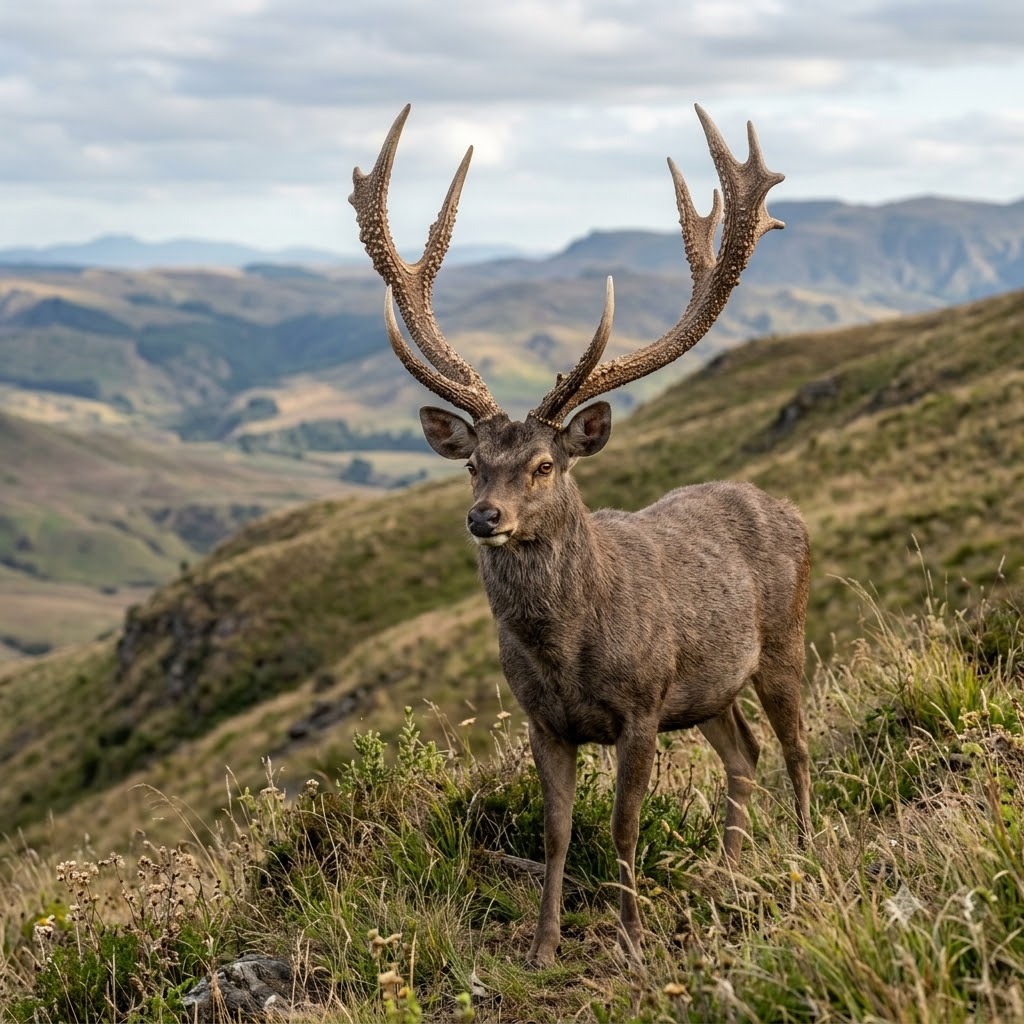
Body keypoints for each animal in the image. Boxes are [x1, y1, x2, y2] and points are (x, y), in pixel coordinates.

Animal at [349, 103, 811, 965]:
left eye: (543, 465)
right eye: (474, 465)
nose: (484, 518)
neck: (567, 652)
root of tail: (790, 510)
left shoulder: (640, 706)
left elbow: (626, 828)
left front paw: (632, 939)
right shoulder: (544, 721)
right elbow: (559, 832)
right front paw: (543, 947)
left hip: (784, 641)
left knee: (796, 747)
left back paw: (806, 850)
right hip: (708, 688)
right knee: (746, 753)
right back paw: (728, 875)